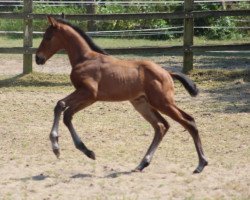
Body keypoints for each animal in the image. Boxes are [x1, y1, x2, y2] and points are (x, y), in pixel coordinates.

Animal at [35, 16, 207, 173]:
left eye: (48, 37)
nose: (38, 58)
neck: (85, 59)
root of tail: (167, 73)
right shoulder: (89, 98)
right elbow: (67, 114)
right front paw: (86, 151)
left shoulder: (88, 93)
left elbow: (61, 105)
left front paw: (57, 147)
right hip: (142, 103)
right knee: (161, 126)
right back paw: (142, 164)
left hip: (163, 102)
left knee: (188, 121)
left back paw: (201, 164)